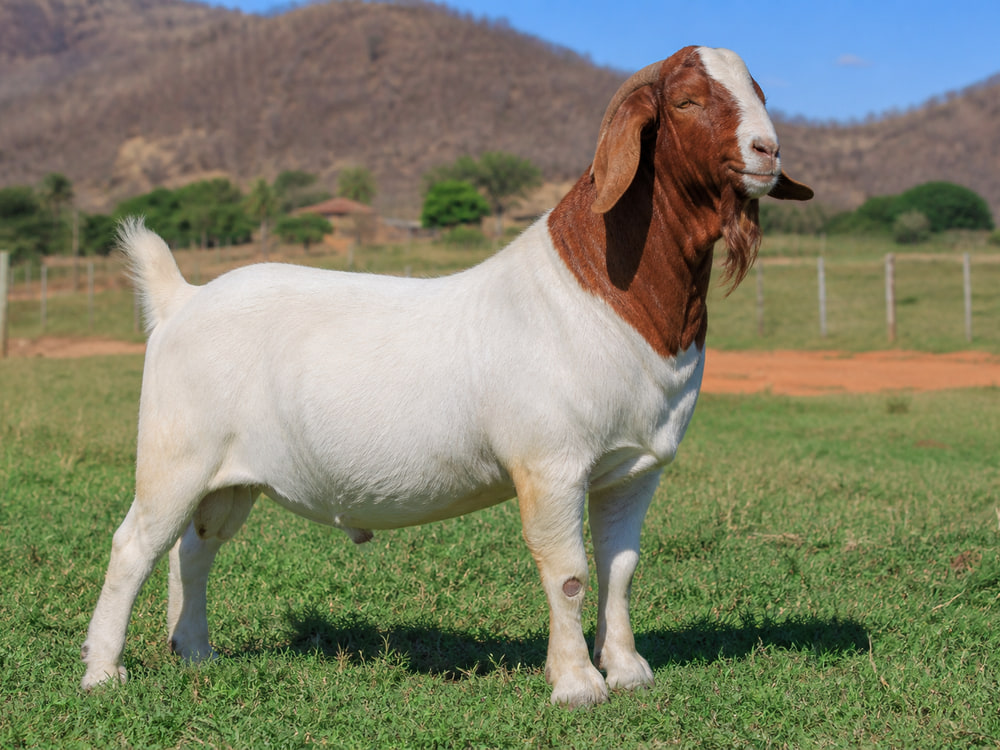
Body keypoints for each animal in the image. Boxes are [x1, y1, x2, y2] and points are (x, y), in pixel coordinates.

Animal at [81, 46, 812, 707]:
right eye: (686, 100)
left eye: (759, 91)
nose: (768, 151)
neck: (603, 292)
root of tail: (180, 299)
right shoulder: (551, 464)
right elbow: (569, 573)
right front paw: (577, 685)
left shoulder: (633, 469)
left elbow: (621, 568)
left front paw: (629, 671)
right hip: (175, 454)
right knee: (134, 546)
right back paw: (103, 673)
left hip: (230, 478)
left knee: (194, 549)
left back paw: (195, 652)